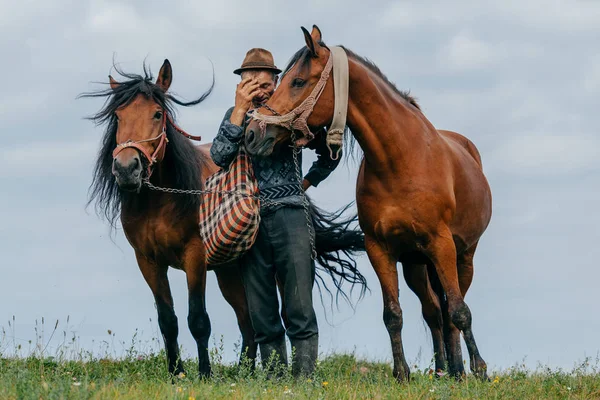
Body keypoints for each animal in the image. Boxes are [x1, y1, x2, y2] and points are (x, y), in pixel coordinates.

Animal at [81, 58, 368, 378]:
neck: (160, 201)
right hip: (229, 272)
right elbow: (168, 320)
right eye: (118, 116)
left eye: (157, 114)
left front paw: (205, 374)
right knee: (247, 321)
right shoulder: (148, 261)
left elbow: (198, 319)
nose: (126, 168)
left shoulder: (195, 258)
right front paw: (176, 373)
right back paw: (246, 372)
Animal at [244, 25, 492, 382]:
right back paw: (445, 370)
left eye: (298, 82)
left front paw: (478, 371)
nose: (252, 133)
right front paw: (402, 374)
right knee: (433, 311)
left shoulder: (442, 245)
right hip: (416, 264)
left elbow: (459, 311)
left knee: (451, 310)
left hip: (462, 256)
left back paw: (464, 369)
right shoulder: (381, 250)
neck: (400, 160)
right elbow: (393, 314)